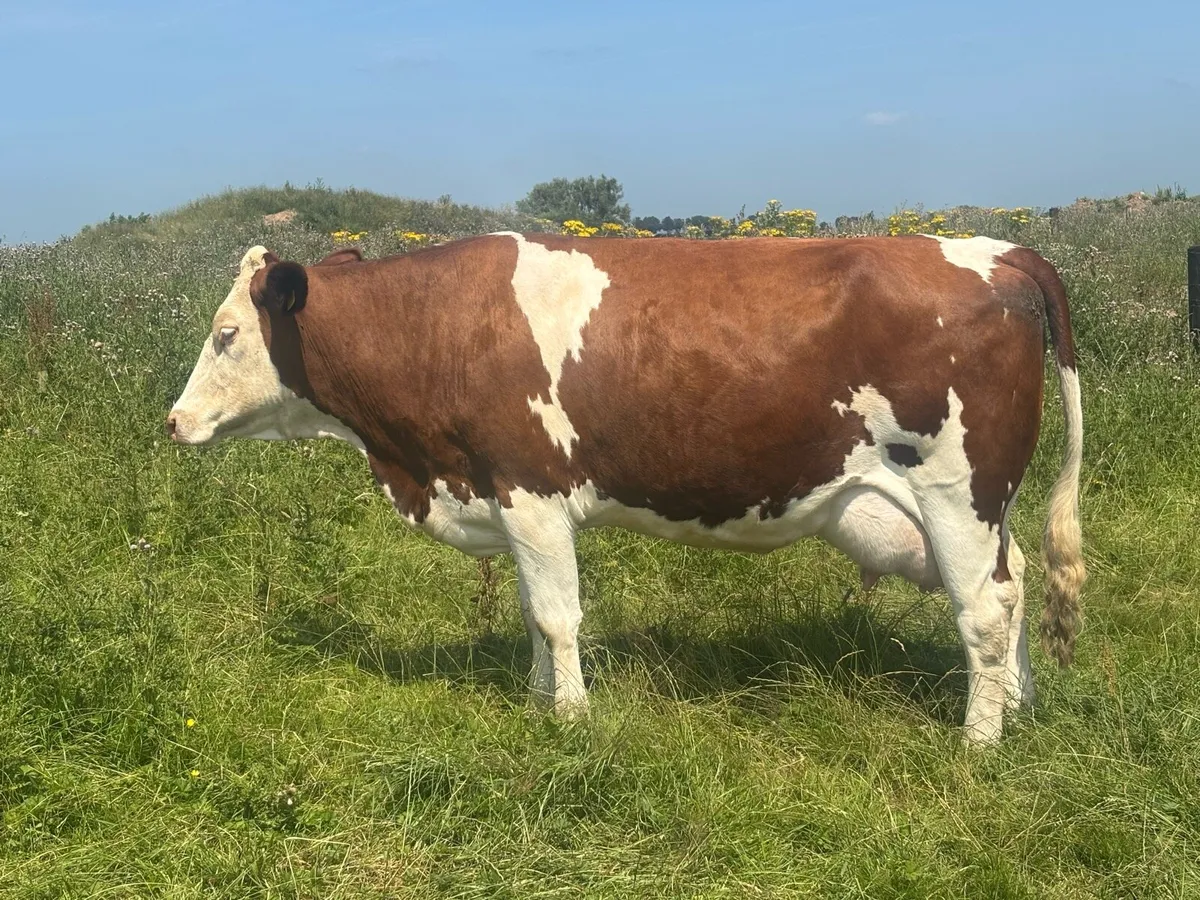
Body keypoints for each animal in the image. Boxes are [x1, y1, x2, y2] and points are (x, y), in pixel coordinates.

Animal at [167, 232, 1085, 745]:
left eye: (226, 334)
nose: (175, 421)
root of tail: (998, 249)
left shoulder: (531, 489)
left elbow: (556, 616)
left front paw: (570, 722)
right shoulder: (506, 499)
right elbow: (533, 614)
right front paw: (539, 704)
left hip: (957, 490)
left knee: (984, 610)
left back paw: (979, 743)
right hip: (978, 508)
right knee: (1014, 591)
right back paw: (1023, 710)